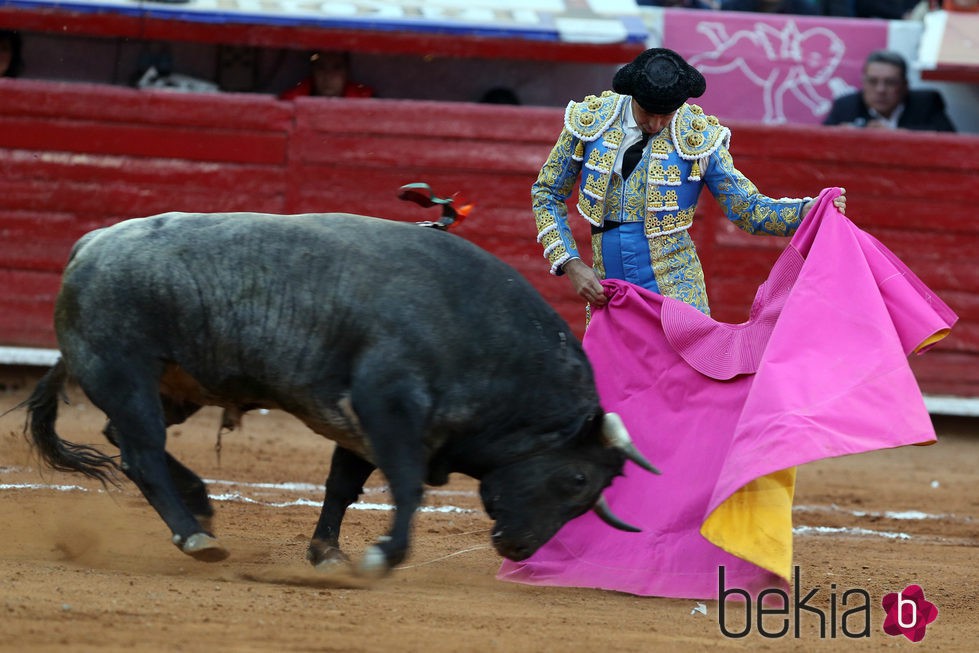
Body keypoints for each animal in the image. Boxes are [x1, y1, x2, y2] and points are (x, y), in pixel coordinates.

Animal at [21, 211, 660, 572]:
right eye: (575, 479)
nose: (521, 549)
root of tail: (89, 245)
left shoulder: (359, 422)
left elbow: (342, 485)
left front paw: (326, 552)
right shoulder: (388, 406)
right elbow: (405, 487)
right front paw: (383, 555)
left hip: (173, 386)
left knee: (123, 438)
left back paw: (200, 503)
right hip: (124, 371)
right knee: (142, 453)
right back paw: (195, 535)